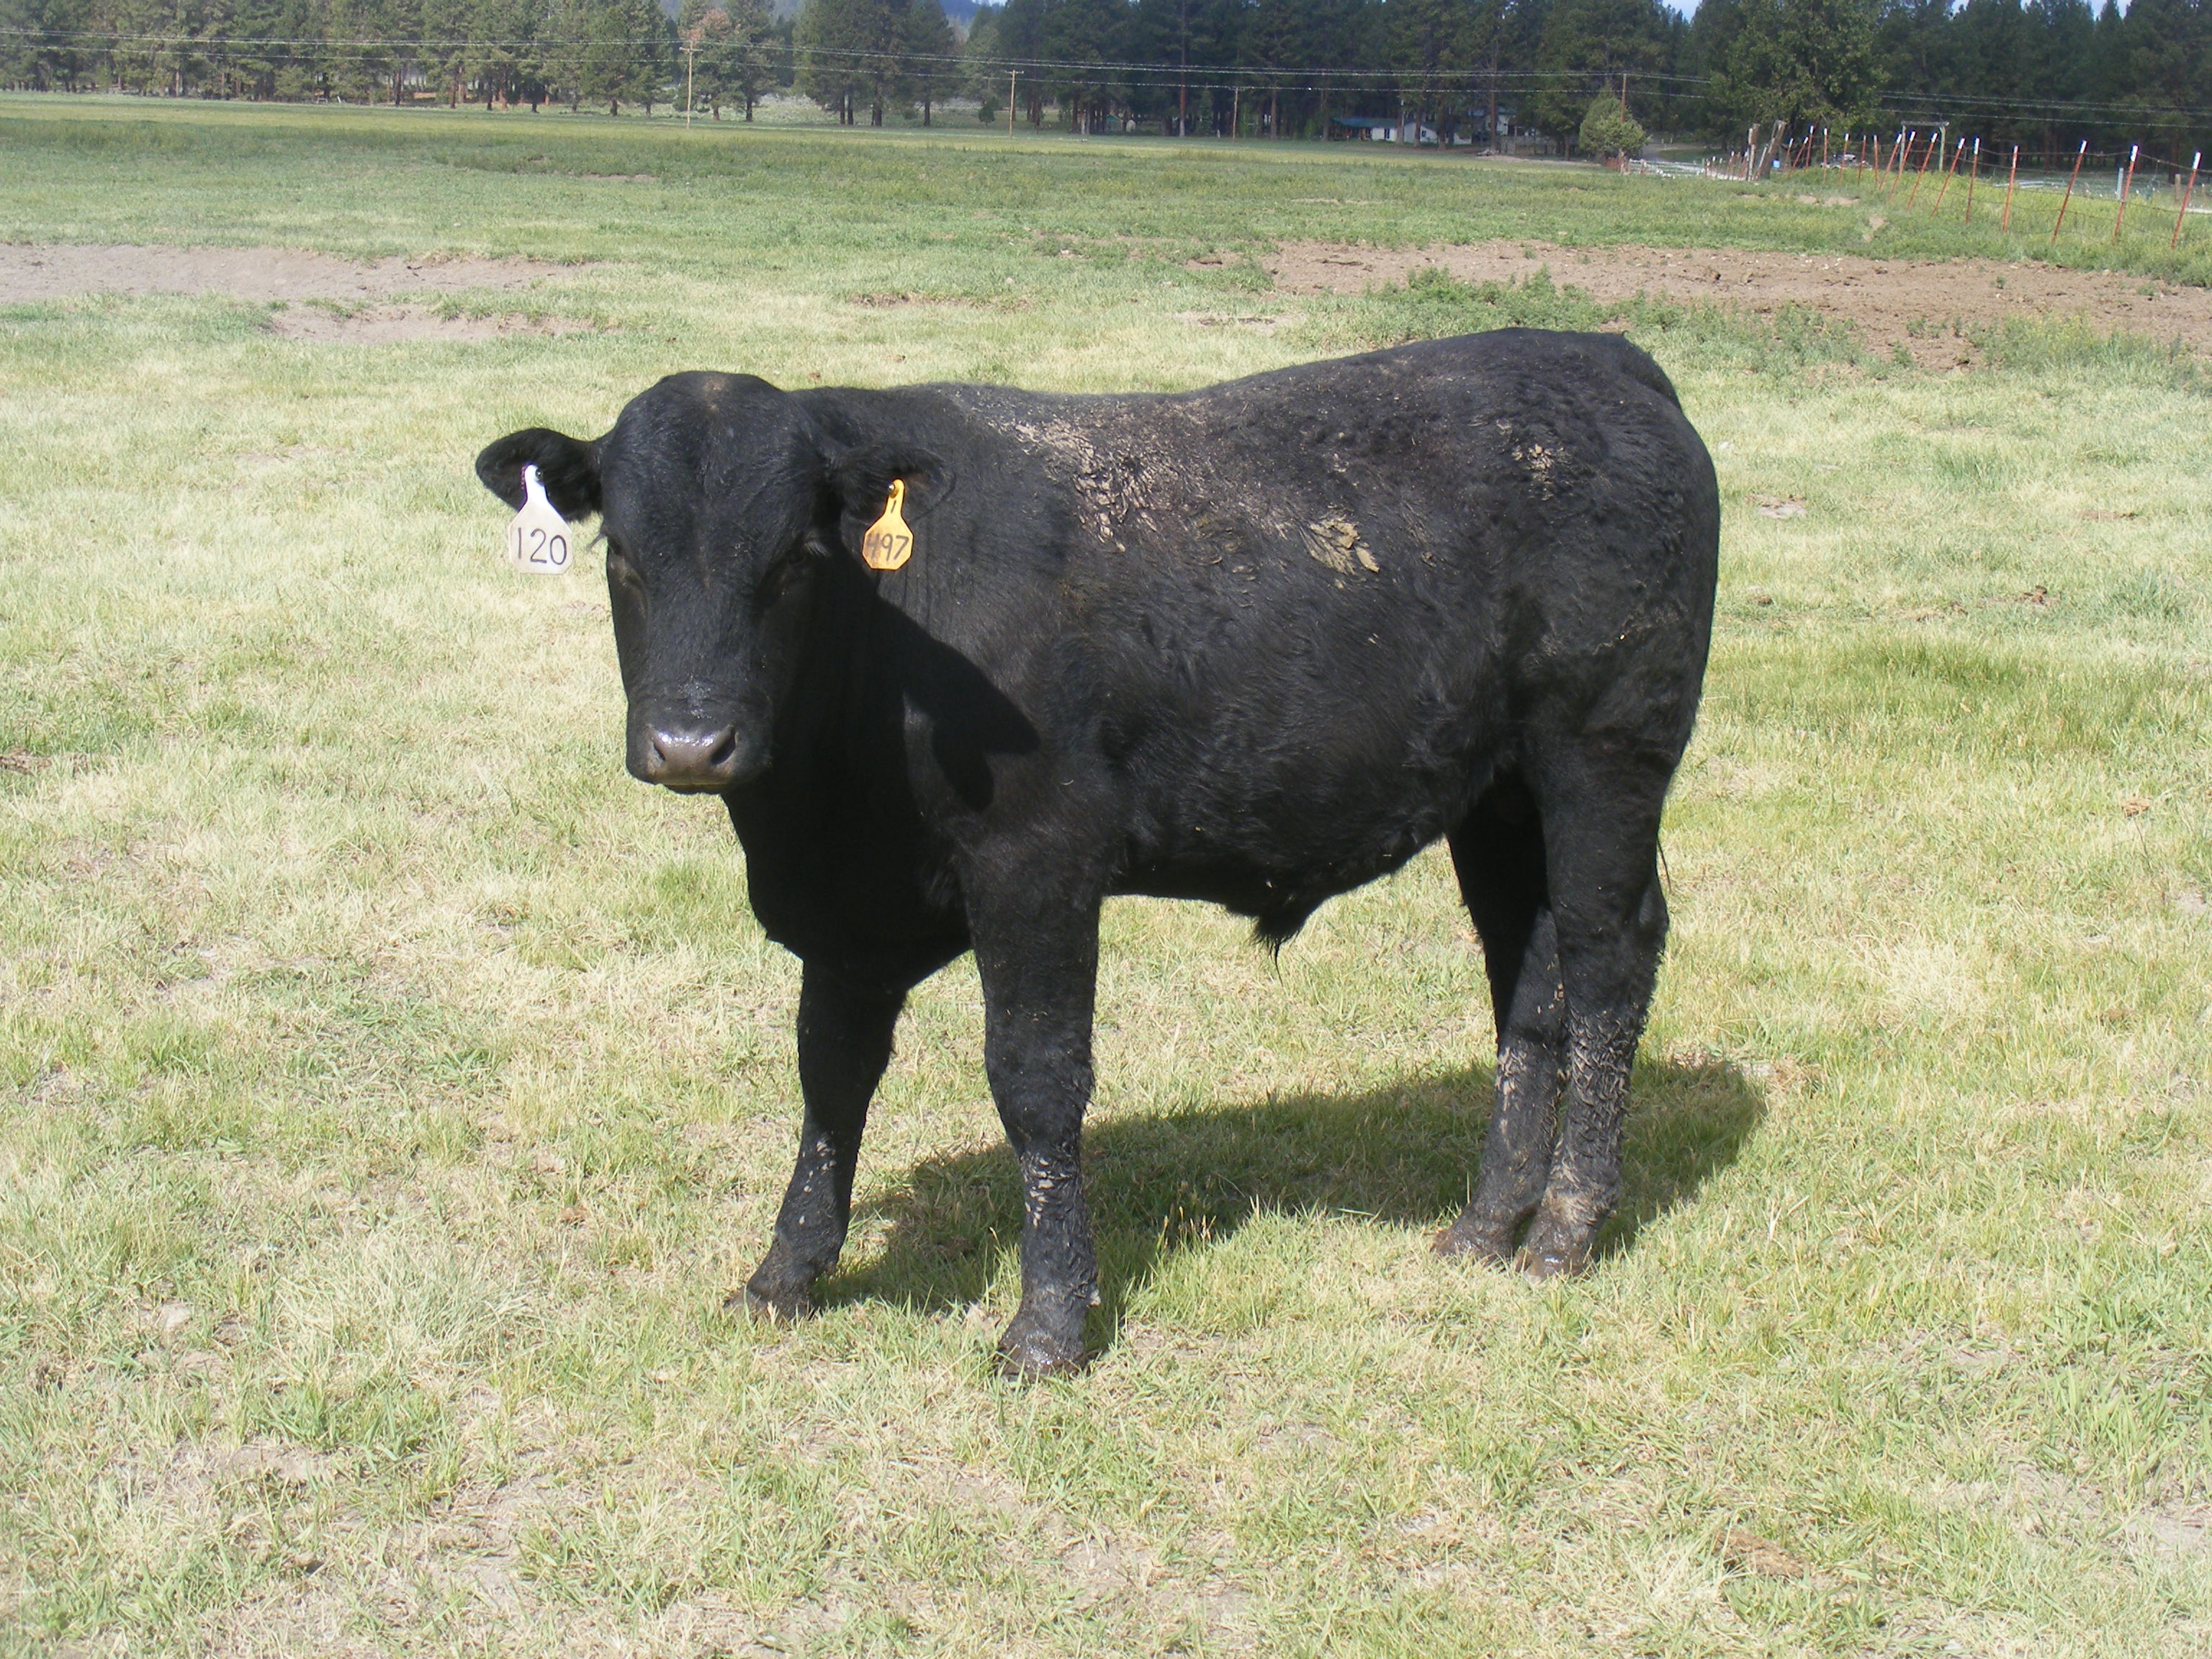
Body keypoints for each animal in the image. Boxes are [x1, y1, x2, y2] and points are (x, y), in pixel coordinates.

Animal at [476, 330, 1720, 1377]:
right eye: (625, 558)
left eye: (792, 559)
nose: (693, 743)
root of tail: (1599, 354)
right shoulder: (847, 909)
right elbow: (831, 1075)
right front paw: (784, 1273)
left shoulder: (1040, 865)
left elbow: (1036, 1083)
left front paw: (1049, 1323)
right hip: (1497, 798)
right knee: (1531, 984)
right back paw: (1487, 1222)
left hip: (1604, 753)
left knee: (1609, 960)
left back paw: (1567, 1227)